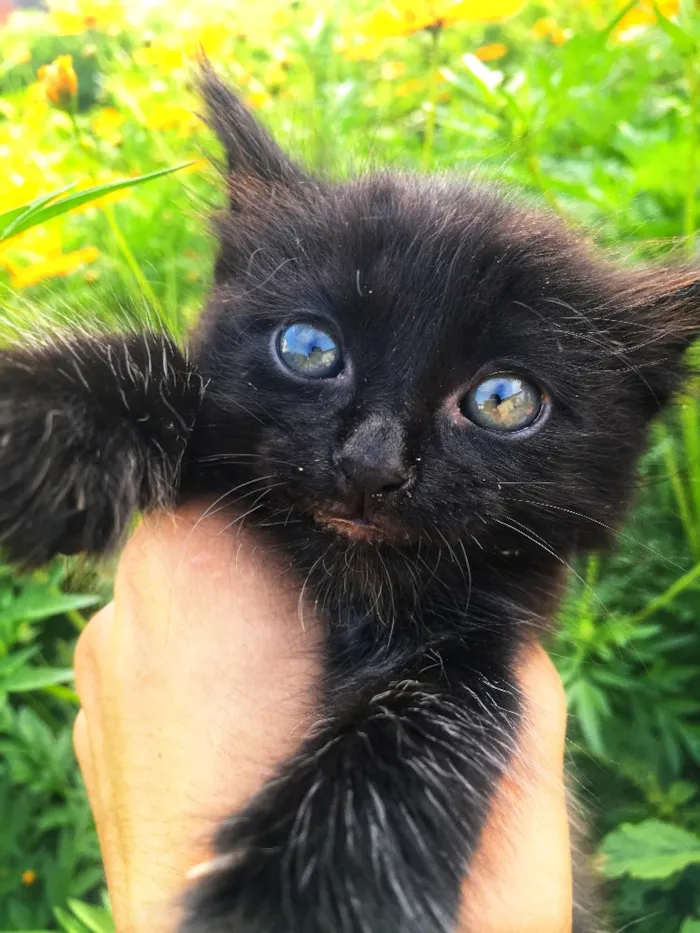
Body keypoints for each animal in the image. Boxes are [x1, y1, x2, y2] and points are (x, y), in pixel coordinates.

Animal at [1, 73, 700, 932]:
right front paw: (33, 421)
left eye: (503, 400)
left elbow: (429, 726)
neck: (350, 593)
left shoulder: (485, 652)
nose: (372, 463)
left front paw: (296, 895)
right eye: (310, 348)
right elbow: (164, 374)